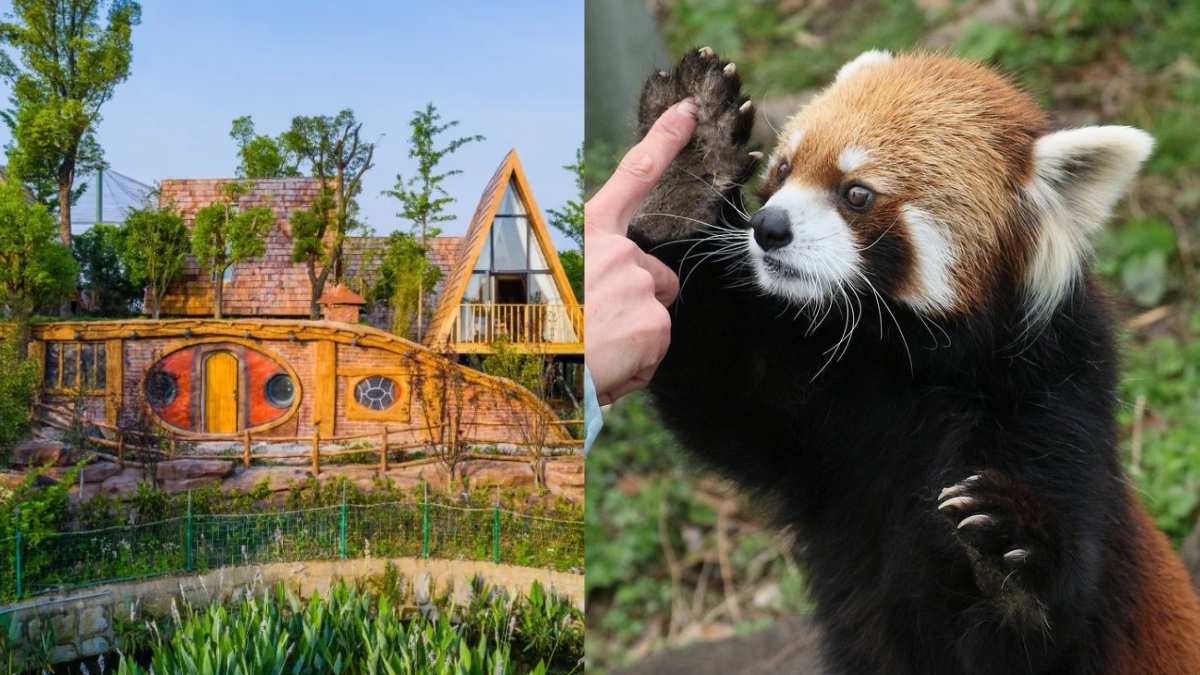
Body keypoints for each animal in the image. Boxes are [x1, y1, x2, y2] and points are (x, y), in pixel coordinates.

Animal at [627, 47, 1200, 674]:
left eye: (856, 194)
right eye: (782, 170)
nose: (767, 227)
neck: (909, 357)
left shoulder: (1057, 397)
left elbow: (1040, 627)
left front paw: (1010, 555)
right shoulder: (821, 417)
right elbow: (719, 383)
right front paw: (689, 165)